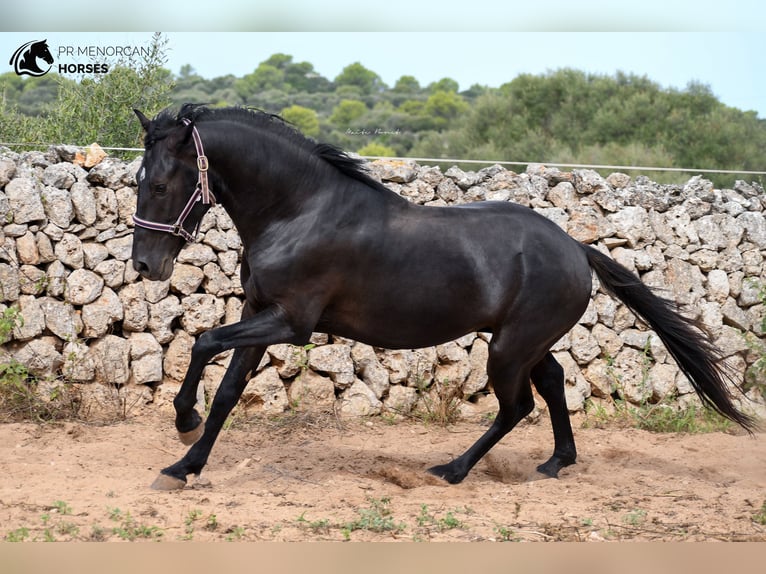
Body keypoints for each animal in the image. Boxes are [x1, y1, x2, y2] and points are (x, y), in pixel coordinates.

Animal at [130, 104, 756, 490]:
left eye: (160, 183)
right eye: (138, 180)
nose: (145, 265)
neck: (299, 211)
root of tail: (577, 248)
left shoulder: (291, 322)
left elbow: (203, 343)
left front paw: (183, 422)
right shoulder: (259, 313)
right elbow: (227, 390)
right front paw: (184, 464)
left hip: (508, 350)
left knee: (516, 406)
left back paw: (452, 469)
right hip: (522, 343)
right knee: (552, 383)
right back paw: (555, 463)